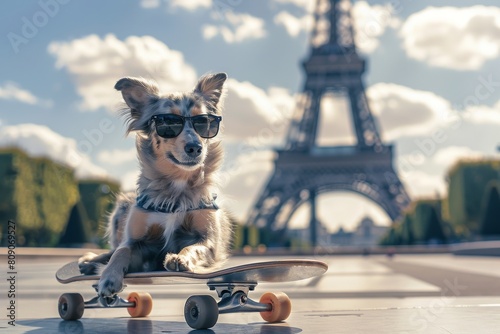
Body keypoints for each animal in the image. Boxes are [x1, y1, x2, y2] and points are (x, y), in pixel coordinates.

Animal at [79, 72, 233, 296]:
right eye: (168, 123)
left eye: (204, 122)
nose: (195, 147)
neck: (176, 187)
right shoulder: (138, 243)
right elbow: (121, 251)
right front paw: (108, 276)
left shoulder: (208, 240)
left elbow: (194, 248)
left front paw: (180, 258)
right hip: (121, 207)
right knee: (113, 249)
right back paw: (90, 262)